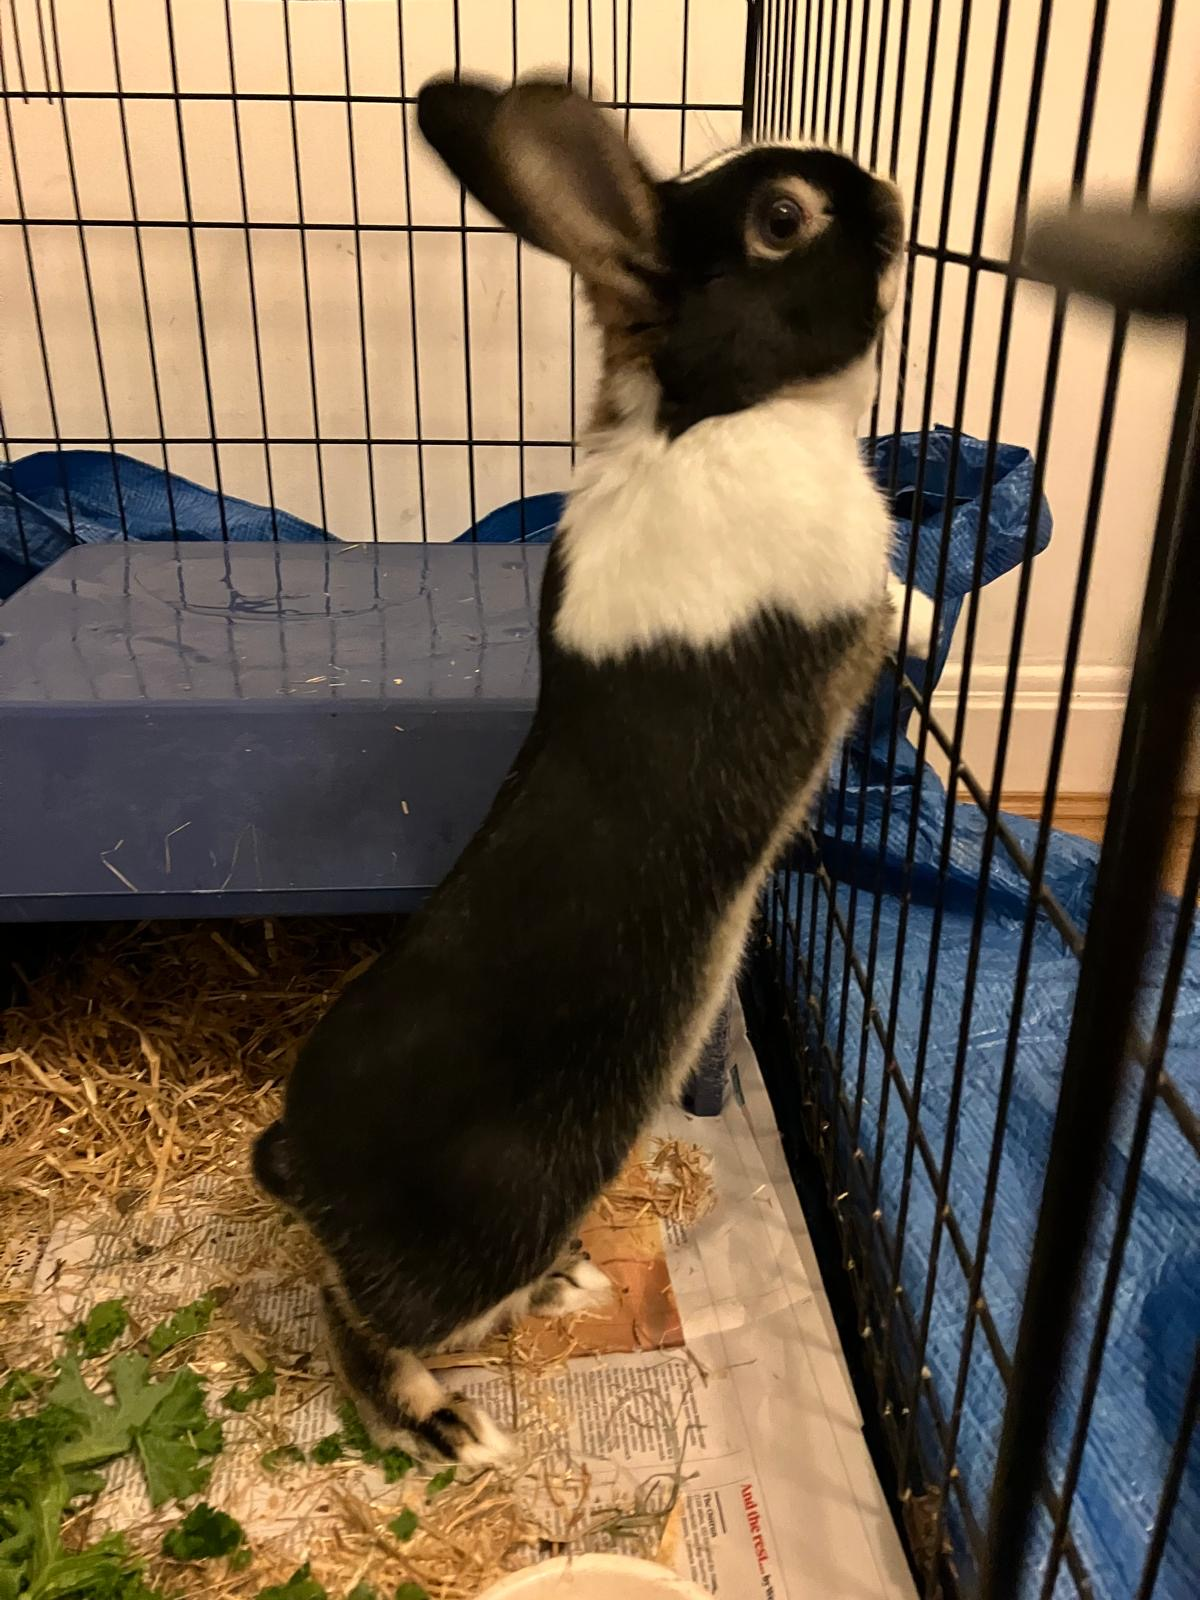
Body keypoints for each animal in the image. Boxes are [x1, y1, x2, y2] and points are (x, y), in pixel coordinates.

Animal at [252, 74, 907, 1468]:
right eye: (785, 218)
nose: (888, 195)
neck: (715, 411)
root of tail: (300, 1162)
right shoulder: (836, 611)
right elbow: (891, 611)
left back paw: (567, 1285)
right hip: (475, 1235)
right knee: (359, 1328)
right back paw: (448, 1426)